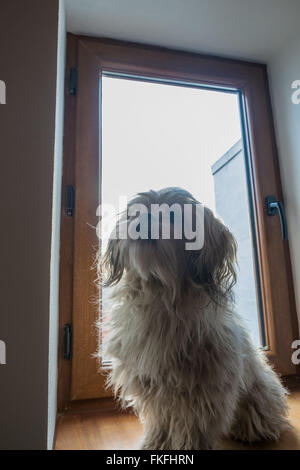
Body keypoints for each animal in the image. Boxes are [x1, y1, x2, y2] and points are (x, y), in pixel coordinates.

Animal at [99, 186, 290, 448]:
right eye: (135, 213)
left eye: (172, 216)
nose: (145, 219)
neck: (160, 293)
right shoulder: (151, 382)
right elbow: (160, 419)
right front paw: (157, 442)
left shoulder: (204, 384)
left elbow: (194, 423)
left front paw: (191, 446)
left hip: (259, 390)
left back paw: (254, 428)